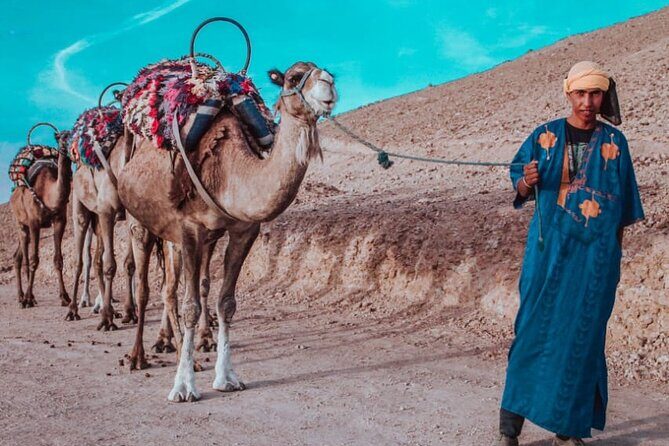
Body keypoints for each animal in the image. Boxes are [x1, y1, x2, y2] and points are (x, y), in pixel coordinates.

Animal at [9, 126, 72, 308]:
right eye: (59, 138)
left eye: (73, 133)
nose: (68, 146)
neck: (48, 193)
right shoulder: (34, 223)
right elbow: (34, 260)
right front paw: (28, 298)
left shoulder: (60, 220)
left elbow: (58, 260)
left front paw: (65, 297)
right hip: (21, 223)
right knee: (24, 258)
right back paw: (24, 298)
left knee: (17, 257)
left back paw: (22, 296)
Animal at [117, 61, 337, 401]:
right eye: (293, 78)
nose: (329, 82)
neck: (228, 170)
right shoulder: (190, 229)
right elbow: (191, 306)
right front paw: (184, 386)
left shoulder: (242, 230)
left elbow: (225, 302)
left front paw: (226, 376)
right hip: (138, 221)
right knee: (144, 287)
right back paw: (137, 356)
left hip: (182, 238)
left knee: (171, 288)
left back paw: (178, 349)